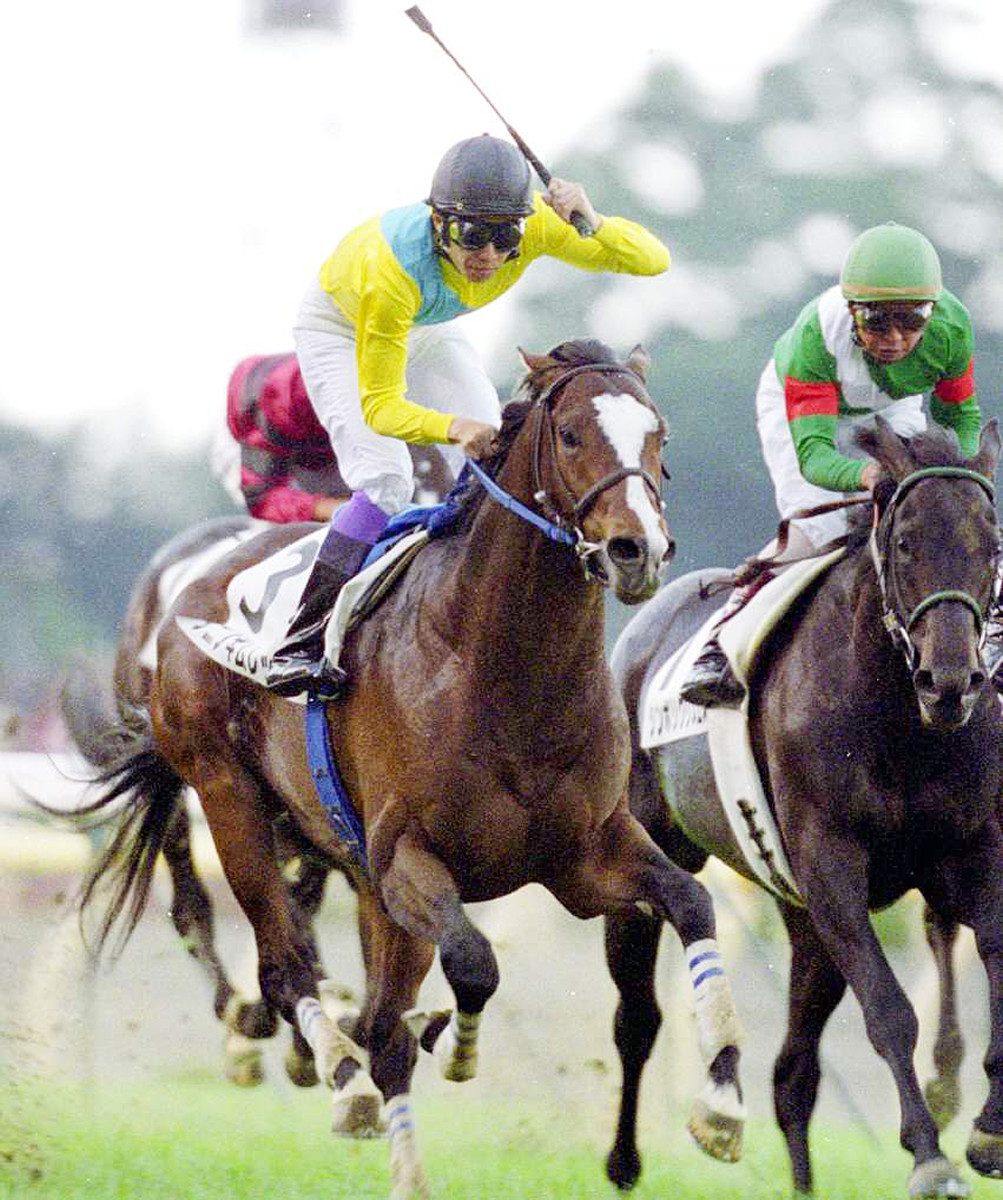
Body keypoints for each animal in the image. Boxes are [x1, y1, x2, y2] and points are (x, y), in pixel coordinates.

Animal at [62, 339, 748, 1199]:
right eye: (569, 436)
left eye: (660, 436)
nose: (638, 549)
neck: (503, 669)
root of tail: (193, 586)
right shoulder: (406, 860)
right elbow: (473, 965)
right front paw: (452, 1043)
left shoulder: (583, 856)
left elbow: (691, 903)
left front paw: (721, 1103)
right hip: (230, 801)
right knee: (286, 964)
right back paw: (336, 1074)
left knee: (375, 1019)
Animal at [603, 417, 1003, 1199]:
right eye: (905, 542)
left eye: (991, 546)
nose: (950, 682)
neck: (900, 721)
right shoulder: (832, 865)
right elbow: (888, 1012)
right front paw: (929, 1154)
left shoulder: (968, 853)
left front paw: (987, 1129)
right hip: (645, 862)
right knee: (636, 1020)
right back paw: (633, 1159)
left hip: (802, 920)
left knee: (792, 1075)